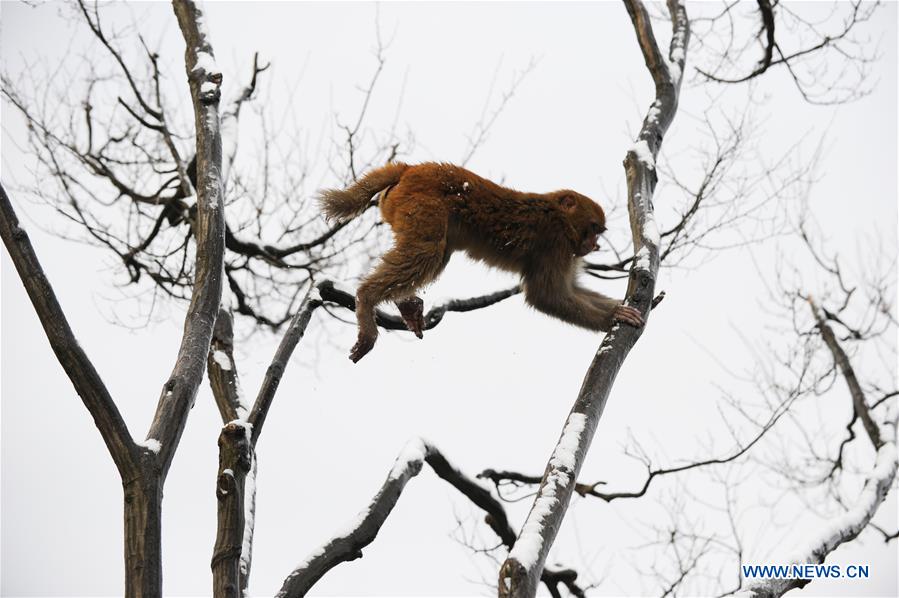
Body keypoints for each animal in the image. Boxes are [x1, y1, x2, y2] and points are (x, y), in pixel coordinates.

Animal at [320, 162, 644, 364]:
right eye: (593, 228)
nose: (594, 245)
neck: (559, 216)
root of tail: (409, 168)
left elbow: (571, 289)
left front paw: (624, 308)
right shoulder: (556, 244)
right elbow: (547, 295)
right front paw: (612, 318)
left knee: (435, 254)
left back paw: (404, 304)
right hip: (421, 206)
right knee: (427, 251)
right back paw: (366, 299)